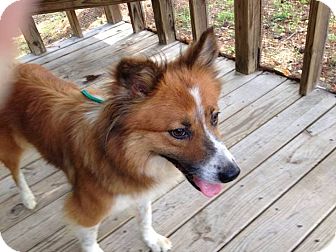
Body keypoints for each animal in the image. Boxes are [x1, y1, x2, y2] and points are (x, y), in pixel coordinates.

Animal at [0, 28, 242, 251]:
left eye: (215, 117)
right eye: (179, 132)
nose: (233, 174)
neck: (121, 156)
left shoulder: (140, 192)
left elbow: (145, 218)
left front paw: (151, 240)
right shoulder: (85, 212)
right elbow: (89, 241)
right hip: (12, 146)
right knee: (16, 172)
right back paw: (27, 197)